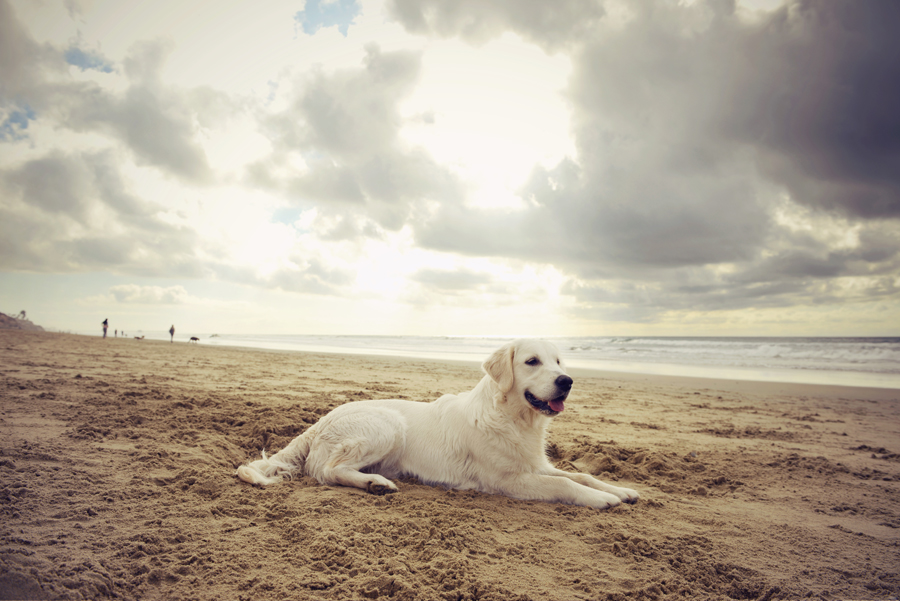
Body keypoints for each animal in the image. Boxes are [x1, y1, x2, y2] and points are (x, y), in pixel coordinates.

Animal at [236, 338, 636, 506]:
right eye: (532, 361)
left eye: (558, 362)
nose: (567, 381)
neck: (513, 419)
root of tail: (320, 421)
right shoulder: (509, 480)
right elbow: (565, 485)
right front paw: (603, 500)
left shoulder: (535, 464)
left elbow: (579, 475)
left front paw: (620, 490)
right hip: (388, 425)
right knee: (326, 471)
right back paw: (376, 484)